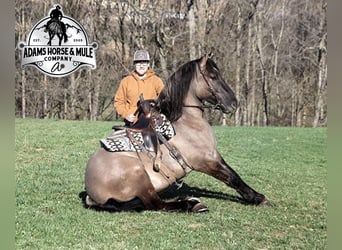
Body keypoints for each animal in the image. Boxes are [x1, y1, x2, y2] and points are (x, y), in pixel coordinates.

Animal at [84, 53, 272, 212]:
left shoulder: (214, 155)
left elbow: (232, 174)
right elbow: (232, 178)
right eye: (213, 77)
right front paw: (258, 198)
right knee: (155, 204)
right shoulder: (204, 161)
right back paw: (190, 204)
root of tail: (90, 193)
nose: (233, 103)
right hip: (139, 176)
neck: (187, 121)